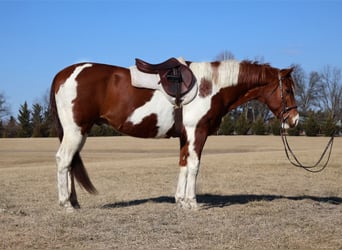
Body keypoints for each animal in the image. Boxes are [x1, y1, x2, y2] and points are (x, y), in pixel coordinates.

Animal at [49, 58, 298, 211]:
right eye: (287, 89)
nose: (294, 120)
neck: (210, 86)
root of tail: (63, 74)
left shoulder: (185, 136)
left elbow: (183, 164)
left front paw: (180, 201)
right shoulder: (198, 132)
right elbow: (194, 166)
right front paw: (193, 202)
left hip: (78, 132)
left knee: (70, 163)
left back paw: (73, 202)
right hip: (75, 131)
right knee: (63, 160)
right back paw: (66, 204)